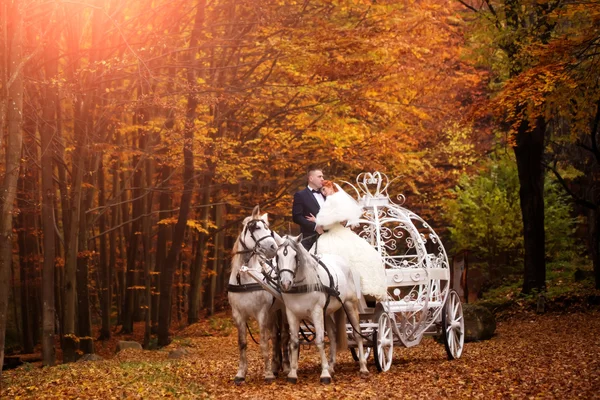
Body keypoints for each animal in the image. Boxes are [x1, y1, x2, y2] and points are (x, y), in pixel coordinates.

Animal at [227, 206, 288, 384]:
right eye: (257, 228)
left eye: (268, 229)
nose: (273, 247)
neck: (246, 277)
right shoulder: (238, 314)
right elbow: (242, 343)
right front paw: (241, 374)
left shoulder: (262, 313)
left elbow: (263, 343)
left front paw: (267, 374)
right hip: (274, 313)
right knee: (275, 336)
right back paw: (275, 366)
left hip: (282, 311)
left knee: (284, 337)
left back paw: (286, 367)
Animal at [276, 234, 368, 384]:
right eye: (277, 256)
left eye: (295, 256)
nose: (285, 283)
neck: (303, 285)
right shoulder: (292, 314)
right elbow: (294, 342)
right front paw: (293, 373)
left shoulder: (317, 312)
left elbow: (319, 341)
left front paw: (324, 373)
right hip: (328, 314)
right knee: (333, 335)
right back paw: (332, 366)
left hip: (350, 306)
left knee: (357, 335)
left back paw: (363, 367)